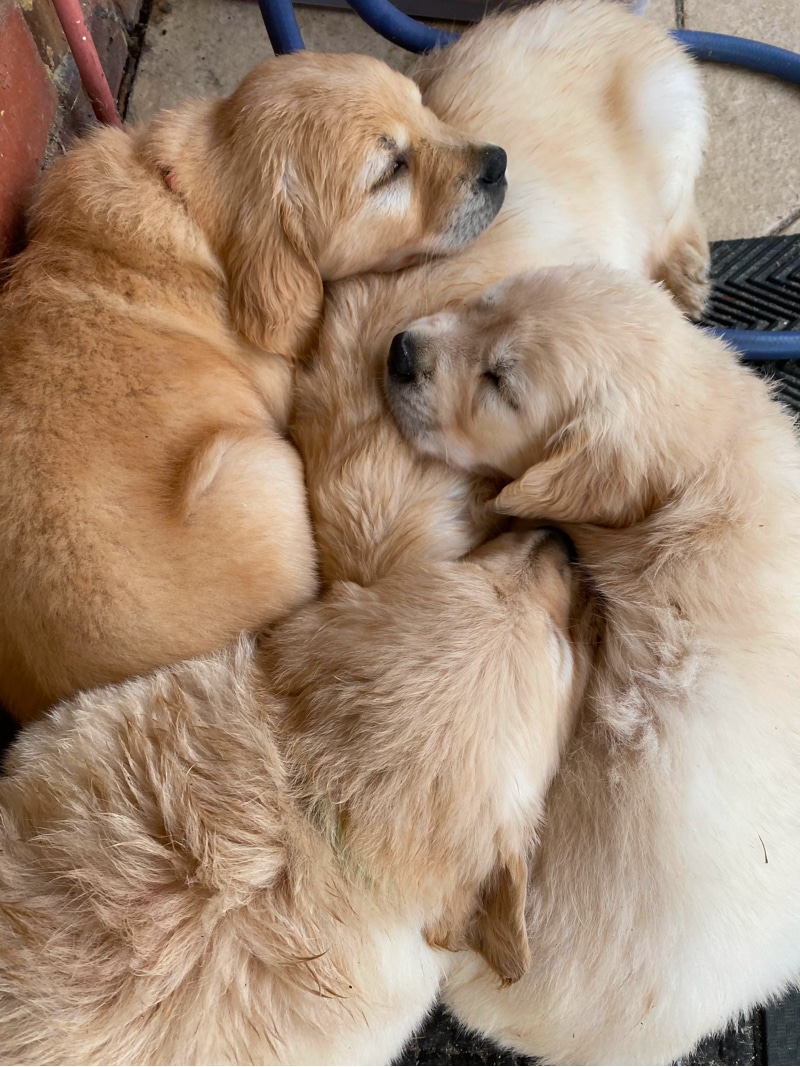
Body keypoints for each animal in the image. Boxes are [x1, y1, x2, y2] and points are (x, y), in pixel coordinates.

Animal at [294, 0, 708, 593]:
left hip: (670, 129)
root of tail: (623, 15)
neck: (378, 444)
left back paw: (688, 271)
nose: (399, 354)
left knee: (678, 213)